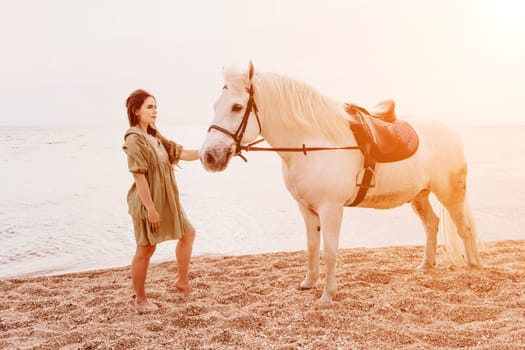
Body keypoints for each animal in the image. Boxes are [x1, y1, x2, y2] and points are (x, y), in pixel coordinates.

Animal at [200, 62, 478, 300]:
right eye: (215, 106)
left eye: (237, 107)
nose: (209, 157)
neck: (312, 144)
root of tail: (452, 132)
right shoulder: (306, 208)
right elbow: (312, 247)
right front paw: (309, 283)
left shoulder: (330, 209)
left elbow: (331, 251)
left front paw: (328, 294)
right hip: (419, 195)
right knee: (431, 224)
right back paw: (426, 265)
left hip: (450, 194)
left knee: (464, 228)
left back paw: (473, 266)